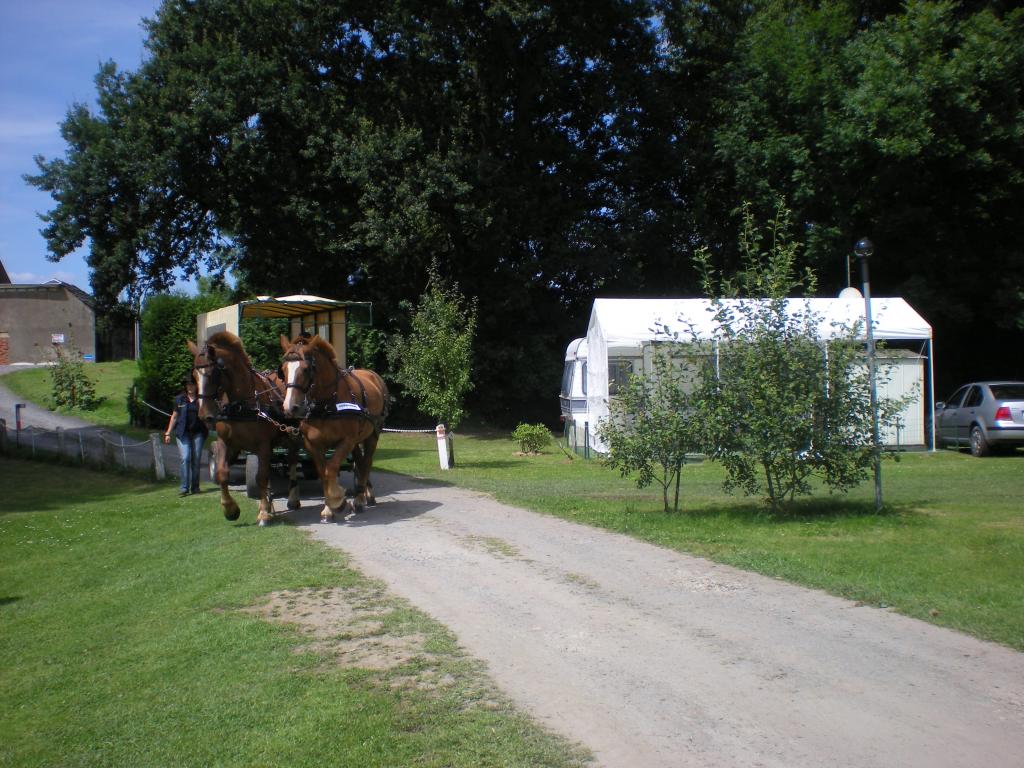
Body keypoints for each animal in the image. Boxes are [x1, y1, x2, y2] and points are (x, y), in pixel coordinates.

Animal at [188, 333, 301, 528]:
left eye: (212, 374)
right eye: (194, 376)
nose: (204, 415)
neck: (241, 405)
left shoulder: (263, 446)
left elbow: (261, 477)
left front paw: (263, 513)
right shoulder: (226, 443)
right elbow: (222, 473)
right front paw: (230, 510)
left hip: (291, 436)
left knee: (292, 461)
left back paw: (292, 499)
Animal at [276, 335, 387, 524]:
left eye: (306, 369)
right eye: (283, 370)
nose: (290, 407)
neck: (328, 402)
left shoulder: (346, 441)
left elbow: (332, 468)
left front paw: (338, 500)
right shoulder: (313, 444)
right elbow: (323, 473)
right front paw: (329, 508)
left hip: (372, 434)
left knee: (366, 463)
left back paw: (360, 500)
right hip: (357, 440)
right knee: (359, 462)